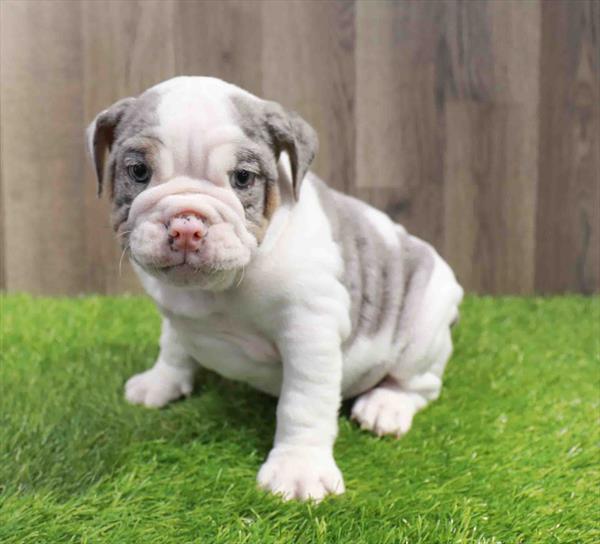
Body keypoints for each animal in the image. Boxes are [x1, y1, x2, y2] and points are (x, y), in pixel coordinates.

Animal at [86, 75, 464, 502]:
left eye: (243, 178)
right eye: (138, 171)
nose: (186, 225)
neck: (219, 287)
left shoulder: (309, 332)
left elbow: (303, 404)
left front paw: (299, 469)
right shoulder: (177, 313)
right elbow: (173, 347)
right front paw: (161, 382)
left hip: (423, 328)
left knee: (420, 383)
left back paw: (386, 406)